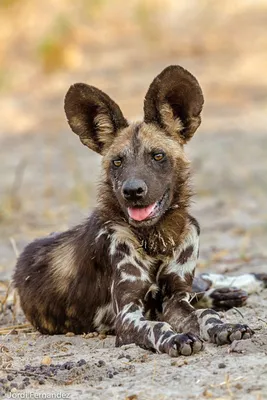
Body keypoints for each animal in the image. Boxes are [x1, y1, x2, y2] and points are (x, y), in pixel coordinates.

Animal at [13, 65, 258, 356]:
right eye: (117, 162)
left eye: (158, 156)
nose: (132, 191)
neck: (156, 239)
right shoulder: (128, 313)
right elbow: (157, 326)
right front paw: (177, 338)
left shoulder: (176, 298)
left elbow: (204, 315)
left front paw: (224, 327)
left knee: (202, 288)